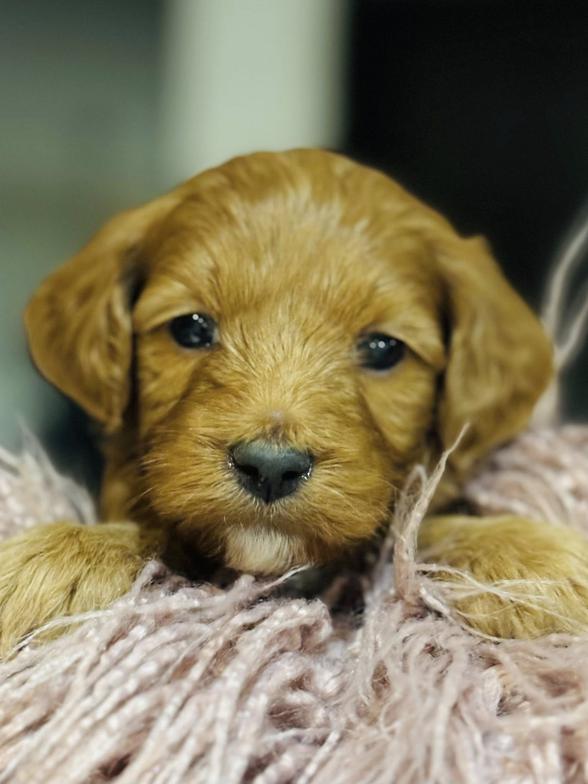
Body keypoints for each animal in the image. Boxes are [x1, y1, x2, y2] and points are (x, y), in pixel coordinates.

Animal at [1, 148, 588, 655]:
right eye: (190, 329)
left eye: (383, 349)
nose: (270, 467)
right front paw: (51, 564)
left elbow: (413, 530)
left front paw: (533, 559)